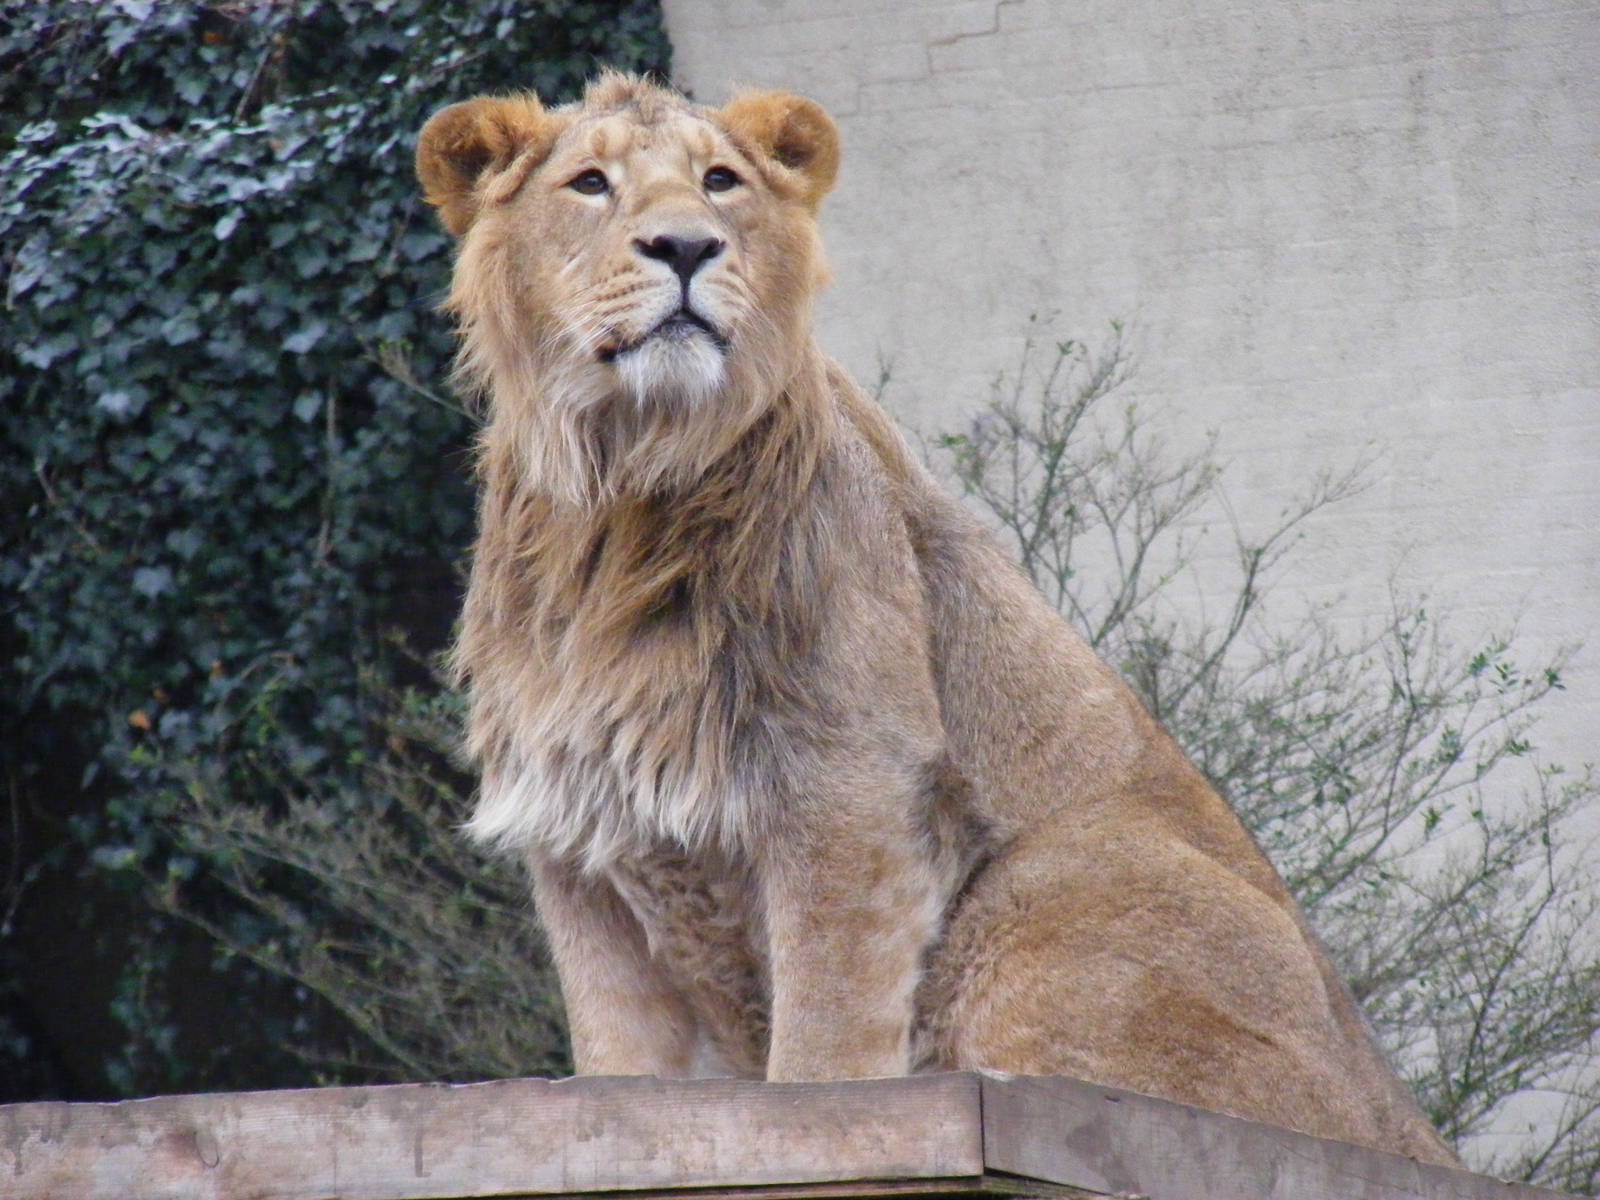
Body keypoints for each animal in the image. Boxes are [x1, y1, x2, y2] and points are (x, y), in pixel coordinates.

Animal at [415, 72, 1456, 1165]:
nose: (689, 247)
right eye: (589, 184)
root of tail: (1406, 1123)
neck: (625, 493)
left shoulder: (851, 788)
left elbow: (823, 1054)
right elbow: (618, 1069)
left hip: (1044, 893)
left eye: (720, 182)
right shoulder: (582, 841)